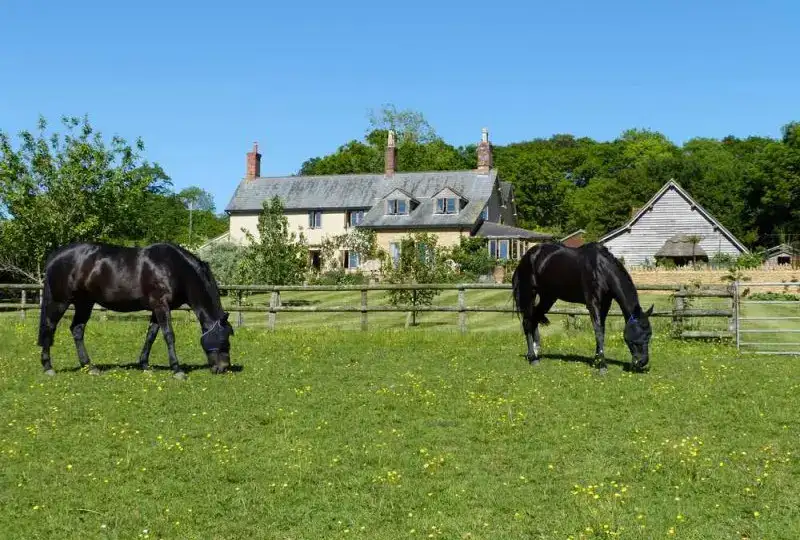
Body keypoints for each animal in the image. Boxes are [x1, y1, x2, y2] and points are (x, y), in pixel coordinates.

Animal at [38, 243, 234, 378]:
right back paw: (48, 368)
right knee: (49, 327)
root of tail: (56, 255)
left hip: (84, 303)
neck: (174, 267)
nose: (223, 368)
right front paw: (177, 370)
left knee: (77, 329)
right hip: (60, 302)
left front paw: (145, 365)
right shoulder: (161, 305)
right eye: (224, 339)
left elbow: (151, 335)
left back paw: (89, 367)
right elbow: (169, 335)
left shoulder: (157, 309)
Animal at [512, 243, 656, 374]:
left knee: (535, 318)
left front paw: (596, 361)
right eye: (638, 334)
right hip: (529, 294)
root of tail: (527, 256)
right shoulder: (593, 303)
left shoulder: (605, 304)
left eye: (649, 334)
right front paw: (602, 366)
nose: (642, 362)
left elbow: (602, 330)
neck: (601, 269)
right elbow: (598, 331)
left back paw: (537, 353)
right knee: (527, 321)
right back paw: (532, 357)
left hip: (548, 297)